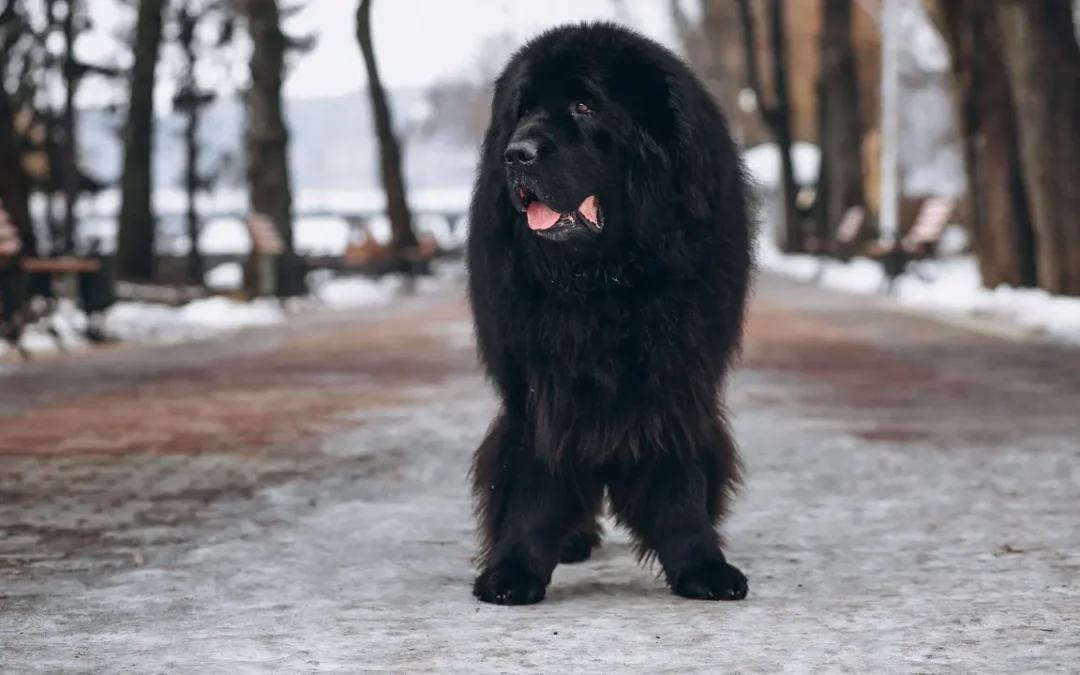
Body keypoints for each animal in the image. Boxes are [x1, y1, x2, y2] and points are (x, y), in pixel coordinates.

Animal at [466, 22, 760, 604]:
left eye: (584, 106)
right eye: (522, 110)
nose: (517, 153)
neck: (606, 279)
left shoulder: (677, 376)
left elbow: (679, 474)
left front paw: (701, 563)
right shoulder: (541, 385)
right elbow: (534, 475)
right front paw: (514, 568)